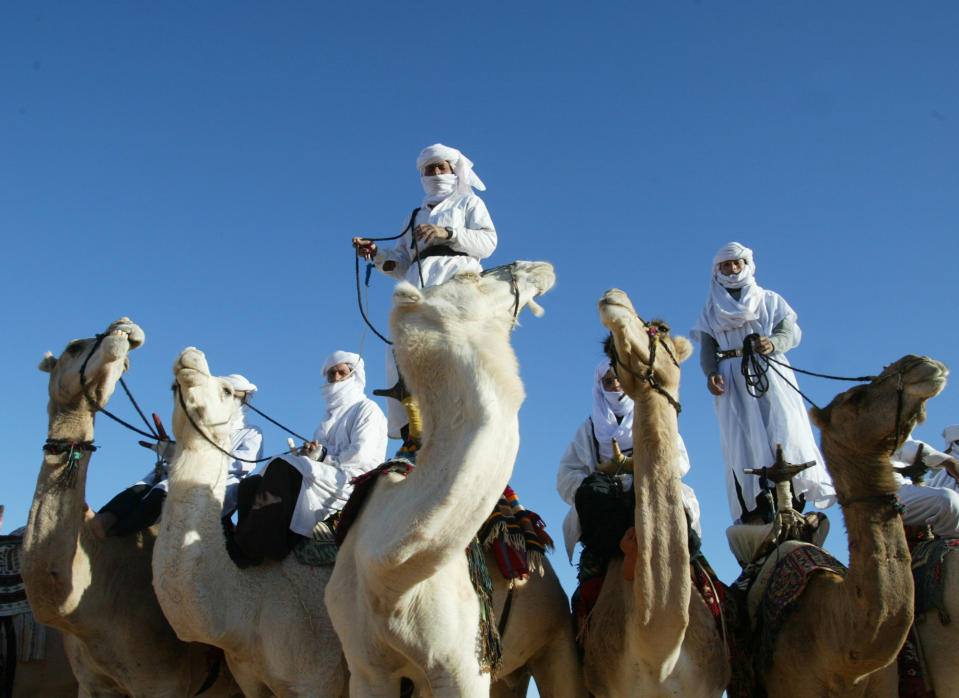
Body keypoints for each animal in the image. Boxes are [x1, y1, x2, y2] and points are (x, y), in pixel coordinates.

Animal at [328, 262, 560, 696]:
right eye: (470, 277)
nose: (537, 266)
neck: (388, 569)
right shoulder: (368, 670)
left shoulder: (463, 665)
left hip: (555, 639)